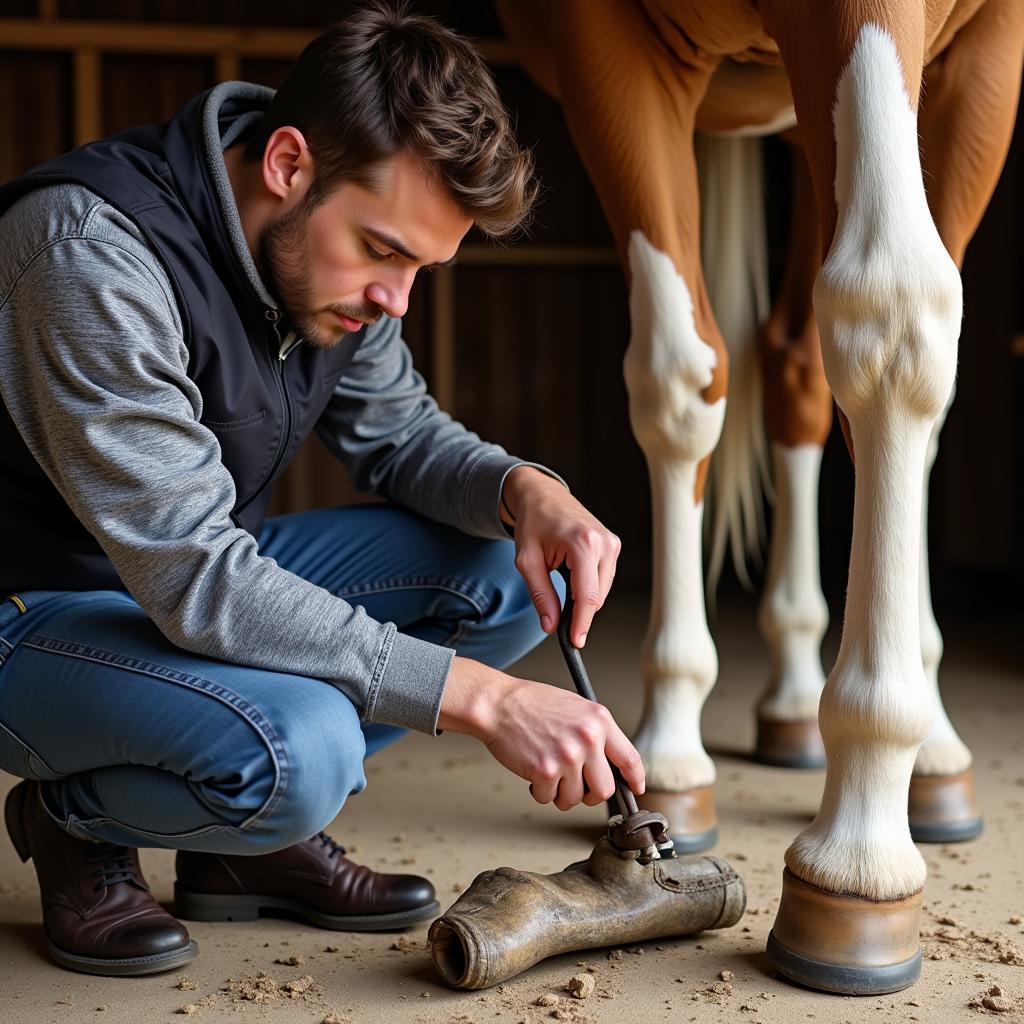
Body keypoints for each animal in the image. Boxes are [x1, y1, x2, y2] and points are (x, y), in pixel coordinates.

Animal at [497, 0, 1024, 991]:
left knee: (806, 366)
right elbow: (682, 377)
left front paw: (866, 837)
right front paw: (675, 748)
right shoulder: (607, 45)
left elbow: (899, 314)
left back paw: (891, 733)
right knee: (778, 364)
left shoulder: (976, 48)